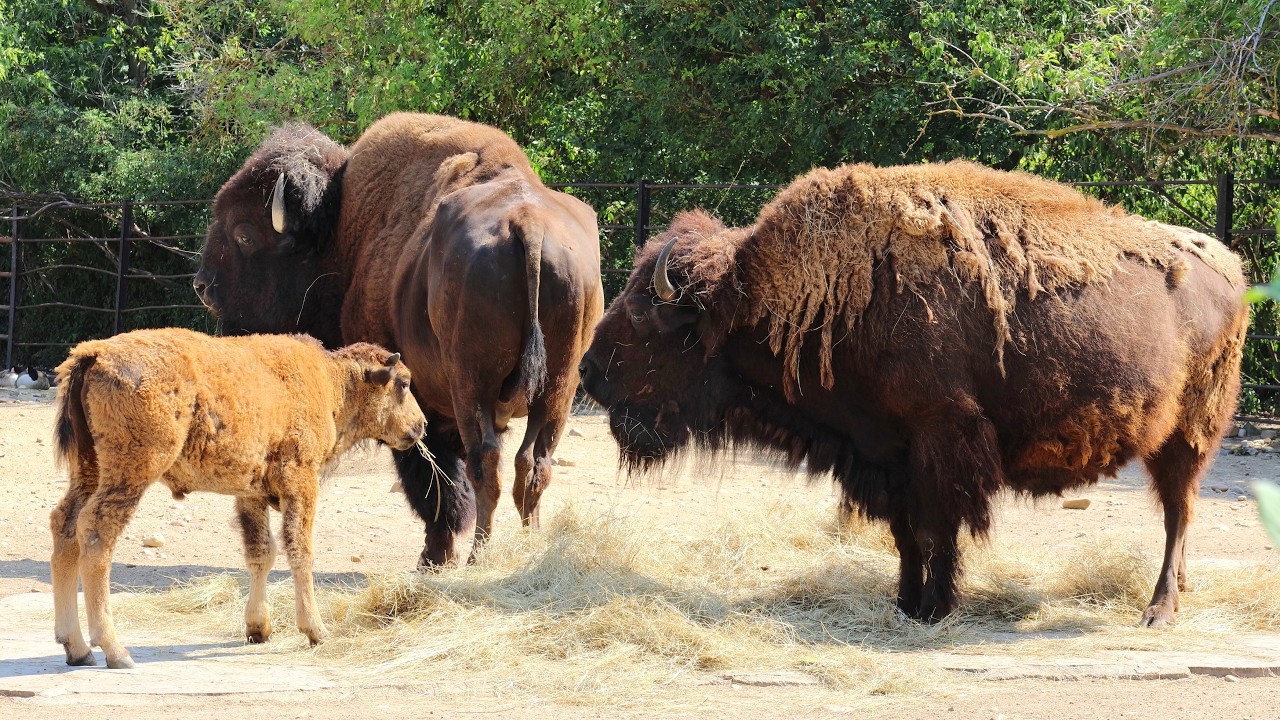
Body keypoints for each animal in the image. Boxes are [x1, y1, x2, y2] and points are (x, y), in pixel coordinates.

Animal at [198, 113, 604, 565]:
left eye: (245, 235)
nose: (203, 286)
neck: (343, 230)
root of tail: (528, 225)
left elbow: (432, 475)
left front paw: (435, 554)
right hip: (559, 386)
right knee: (532, 464)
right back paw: (529, 549)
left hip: (473, 386)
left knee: (485, 462)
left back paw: (477, 554)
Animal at [579, 161, 1248, 626]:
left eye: (643, 317)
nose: (587, 374)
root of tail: (1230, 264)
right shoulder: (883, 453)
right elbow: (905, 533)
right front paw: (905, 601)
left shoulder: (940, 442)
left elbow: (936, 530)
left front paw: (935, 606)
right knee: (1179, 514)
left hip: (1188, 435)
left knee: (1178, 513)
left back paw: (1159, 610)